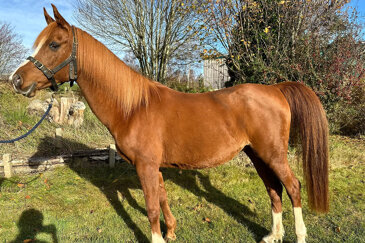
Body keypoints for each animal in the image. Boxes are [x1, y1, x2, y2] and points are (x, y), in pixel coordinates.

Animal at [11, 4, 328, 242]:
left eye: (54, 44)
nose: (16, 80)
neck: (133, 108)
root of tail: (275, 89)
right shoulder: (154, 167)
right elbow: (162, 199)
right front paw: (171, 232)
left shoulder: (145, 166)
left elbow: (152, 207)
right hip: (257, 154)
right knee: (274, 189)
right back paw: (274, 235)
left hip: (273, 154)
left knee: (293, 187)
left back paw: (299, 235)